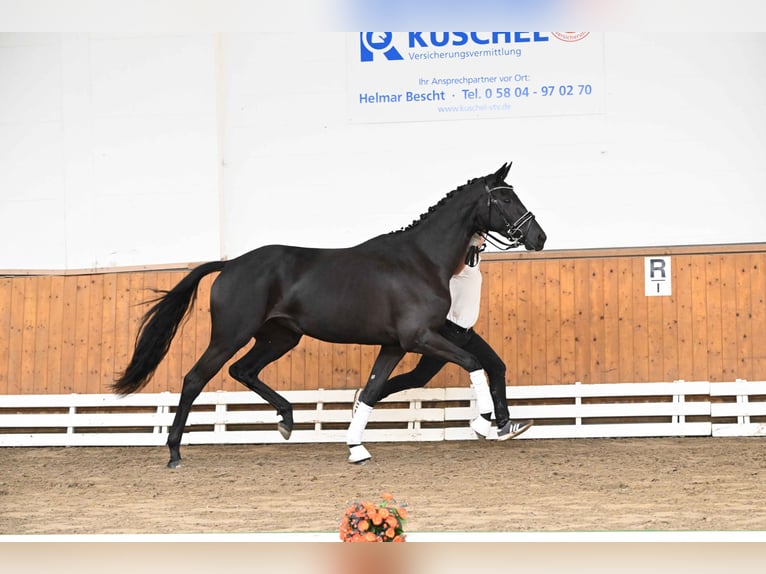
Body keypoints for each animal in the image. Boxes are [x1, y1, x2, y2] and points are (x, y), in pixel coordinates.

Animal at [112, 163, 544, 468]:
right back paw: (173, 452)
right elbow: (473, 361)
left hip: (280, 337)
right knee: (194, 379)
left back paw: (287, 420)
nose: (539, 238)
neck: (420, 260)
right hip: (230, 335)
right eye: (506, 200)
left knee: (243, 370)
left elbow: (370, 391)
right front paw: (484, 422)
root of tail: (230, 264)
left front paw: (356, 448)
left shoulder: (394, 345)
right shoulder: (419, 337)